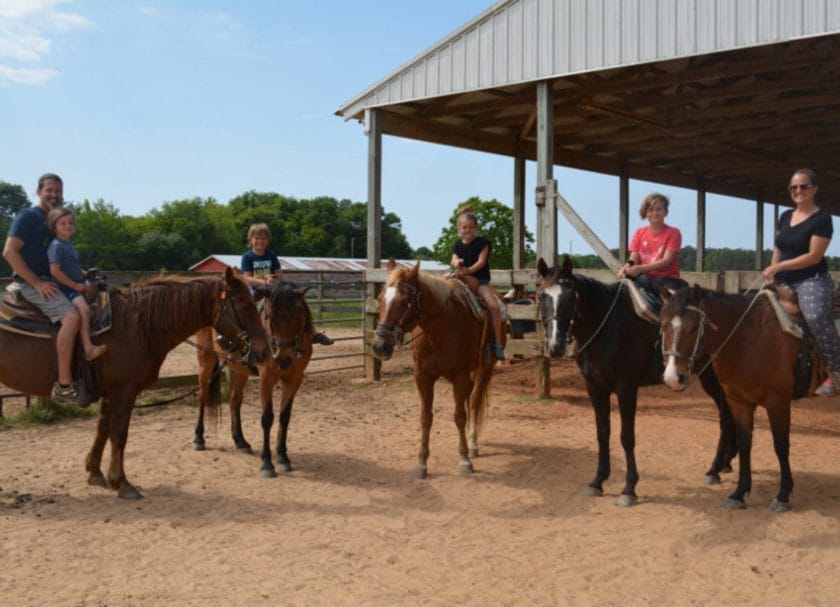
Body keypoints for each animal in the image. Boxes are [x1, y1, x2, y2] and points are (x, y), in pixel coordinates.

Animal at [192, 282, 314, 478]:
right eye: (270, 317)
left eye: (298, 316)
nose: (283, 359)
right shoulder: (266, 378)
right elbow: (267, 418)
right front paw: (267, 464)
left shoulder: (295, 378)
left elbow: (284, 416)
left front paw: (283, 457)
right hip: (206, 360)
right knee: (203, 396)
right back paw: (198, 438)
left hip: (238, 369)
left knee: (234, 401)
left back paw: (240, 441)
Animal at [372, 262, 502, 480]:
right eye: (380, 299)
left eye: (405, 302)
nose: (379, 346)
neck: (439, 329)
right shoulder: (423, 376)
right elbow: (426, 418)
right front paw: (421, 464)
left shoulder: (460, 375)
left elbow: (459, 416)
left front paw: (464, 461)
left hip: (485, 368)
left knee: (474, 402)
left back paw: (473, 444)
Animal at [540, 256, 736, 508]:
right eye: (542, 296)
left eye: (570, 296)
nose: (555, 345)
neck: (606, 326)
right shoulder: (594, 387)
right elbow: (602, 433)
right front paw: (597, 481)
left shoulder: (626, 388)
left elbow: (626, 437)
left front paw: (629, 489)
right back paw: (725, 463)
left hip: (713, 377)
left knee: (725, 415)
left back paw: (715, 469)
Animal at [660, 286, 824, 512]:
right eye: (663, 325)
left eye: (693, 327)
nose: (673, 378)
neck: (750, 339)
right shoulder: (738, 402)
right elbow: (745, 443)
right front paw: (738, 493)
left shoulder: (778, 403)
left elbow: (781, 446)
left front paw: (783, 495)